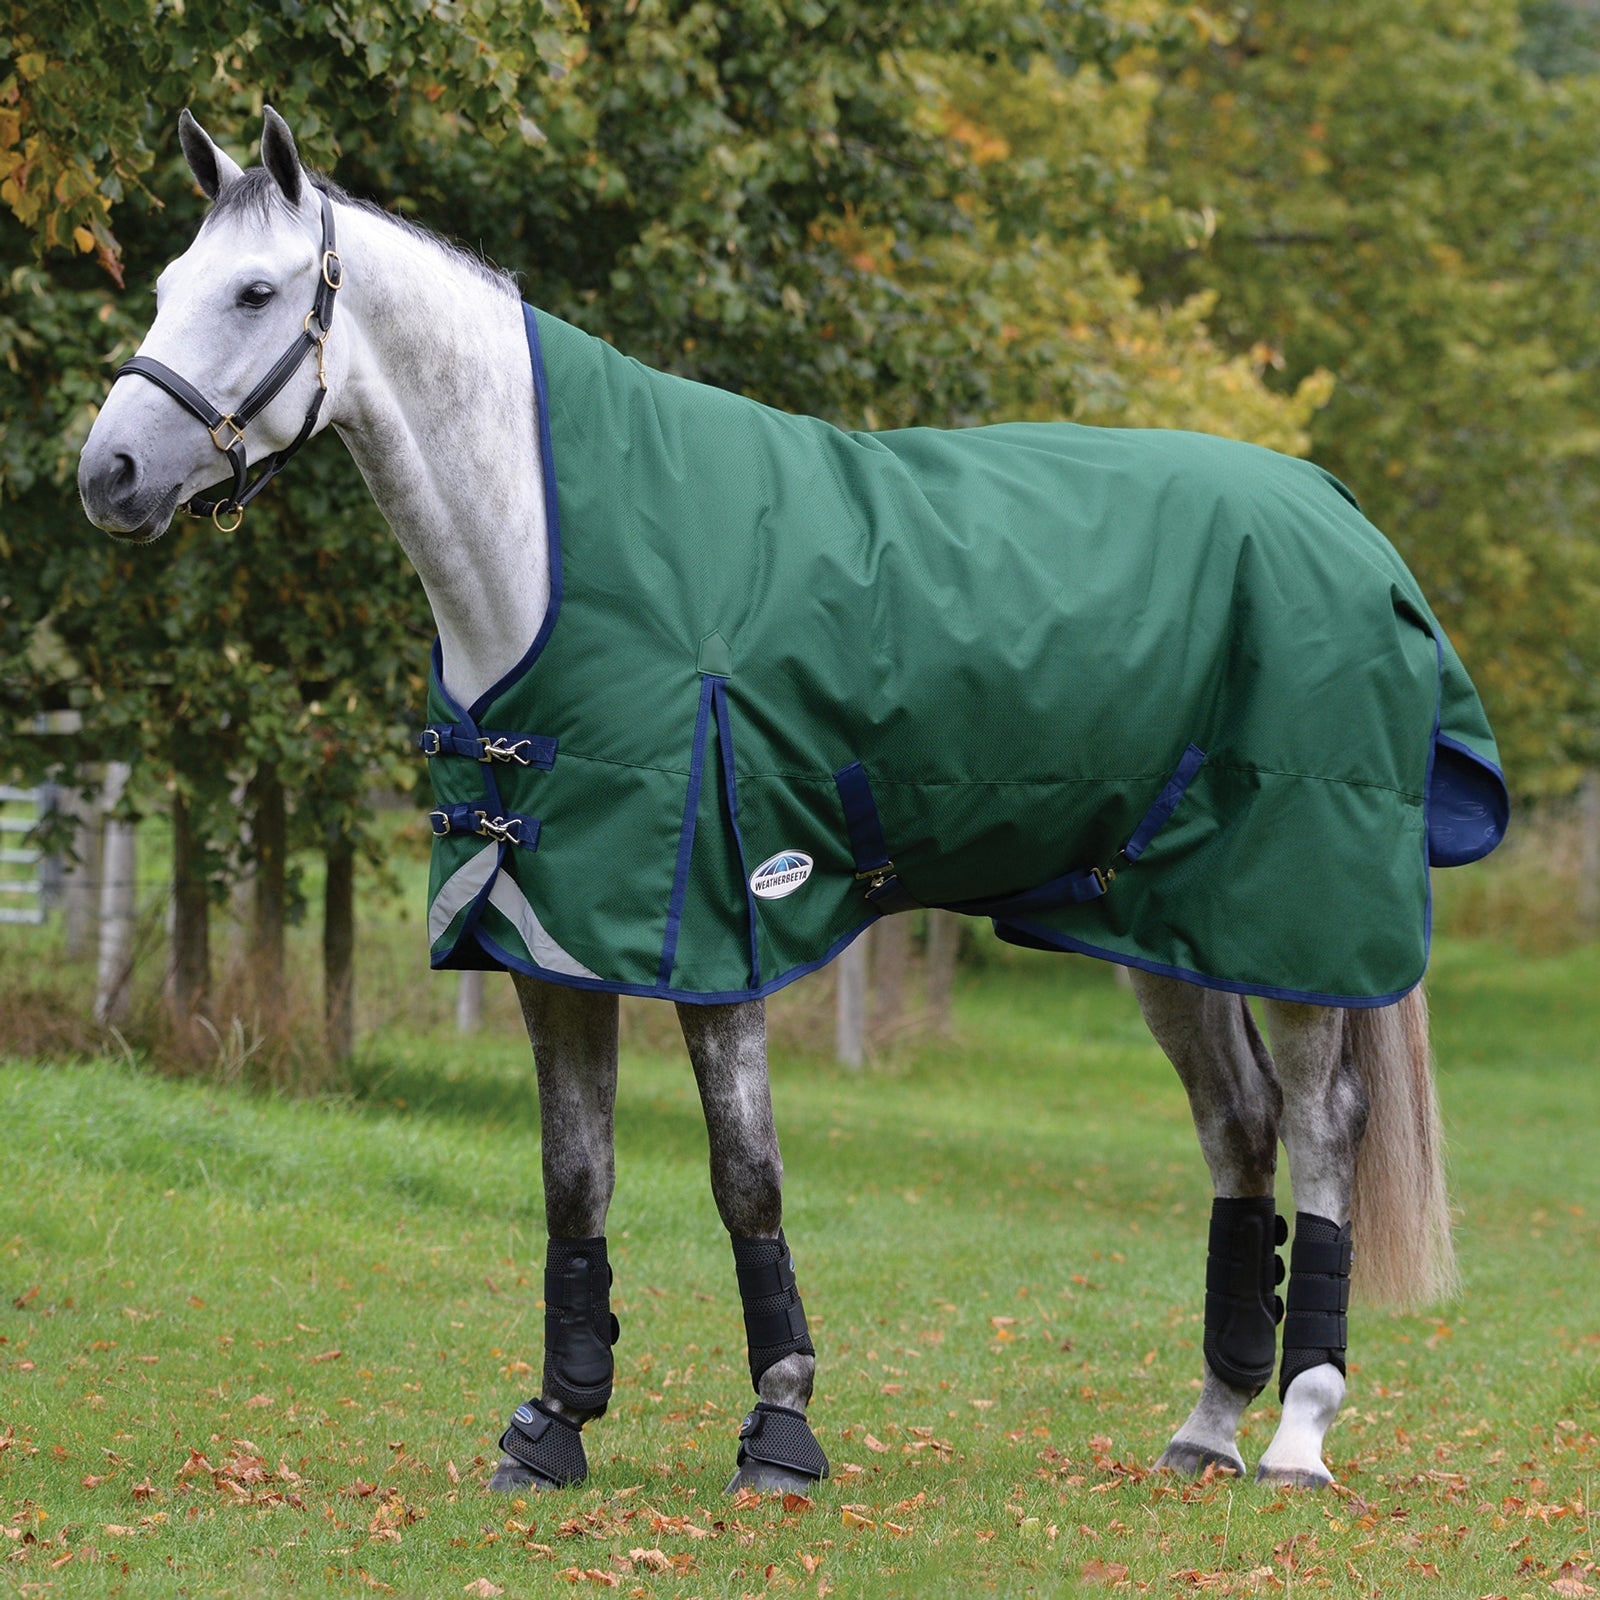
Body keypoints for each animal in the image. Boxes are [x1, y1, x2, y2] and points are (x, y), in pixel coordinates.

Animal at [78, 108, 1508, 1495]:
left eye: (256, 290)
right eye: (163, 286)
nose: (109, 475)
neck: (551, 559)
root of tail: (1340, 515)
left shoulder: (724, 928)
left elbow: (744, 1179)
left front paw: (779, 1426)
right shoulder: (551, 939)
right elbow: (573, 1180)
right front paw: (554, 1426)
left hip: (1296, 922)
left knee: (1319, 1128)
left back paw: (1297, 1437)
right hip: (1165, 926)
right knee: (1238, 1127)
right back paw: (1205, 1426)